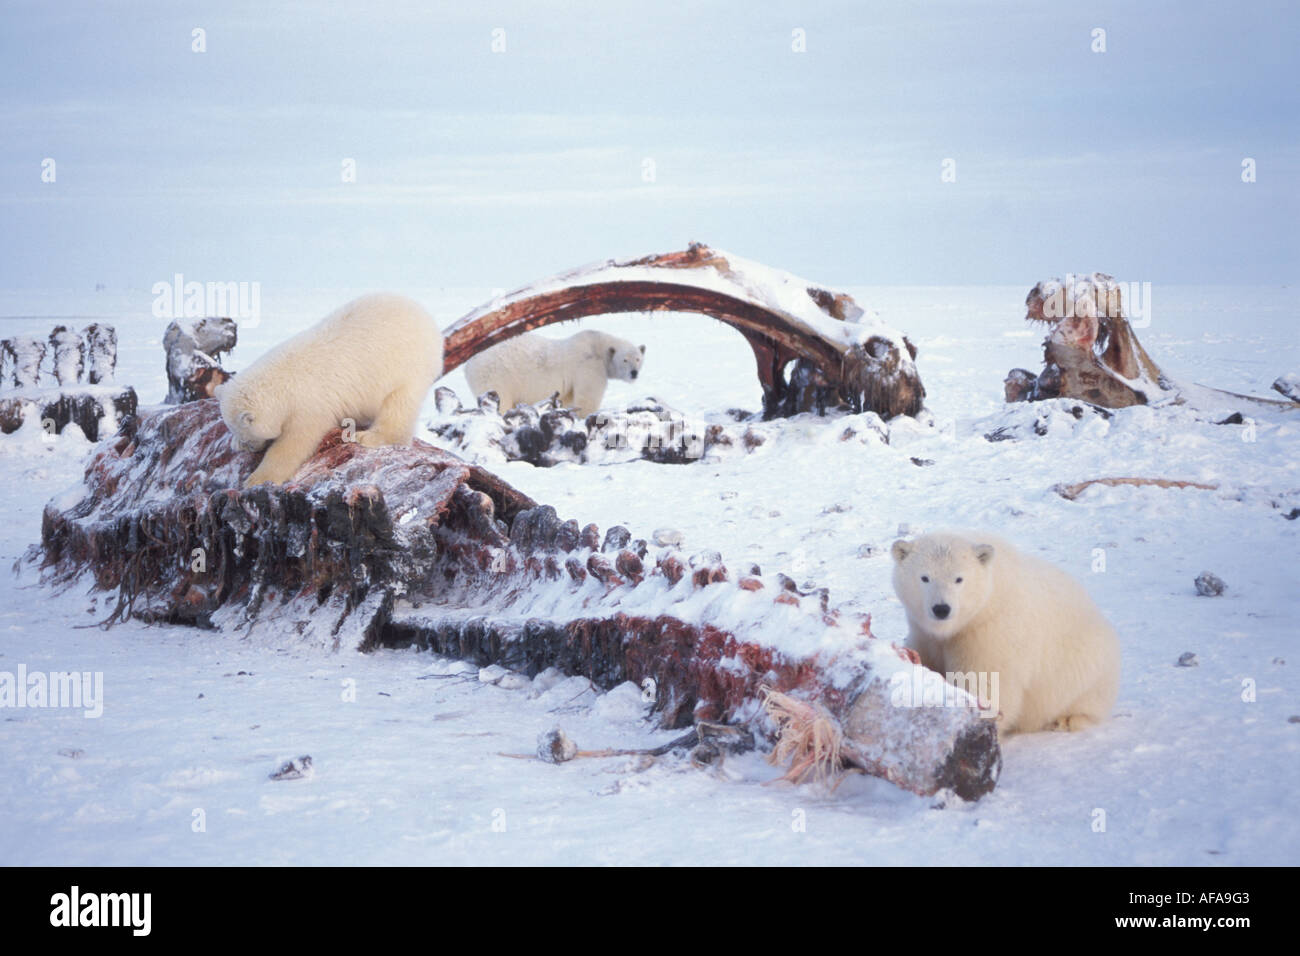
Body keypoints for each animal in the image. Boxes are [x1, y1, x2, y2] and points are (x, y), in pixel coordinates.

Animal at [215, 291, 444, 486]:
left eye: (247, 433)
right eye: (238, 433)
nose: (250, 447)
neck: (281, 384)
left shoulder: (309, 404)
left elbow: (294, 443)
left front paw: (257, 479)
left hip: (407, 366)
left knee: (398, 405)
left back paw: (369, 437)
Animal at [465, 329, 647, 418]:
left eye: (638, 358)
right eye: (625, 359)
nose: (634, 373)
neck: (598, 347)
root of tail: (469, 364)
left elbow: (568, 397)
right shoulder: (589, 367)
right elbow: (588, 398)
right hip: (497, 374)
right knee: (500, 398)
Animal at [889, 528, 1123, 738]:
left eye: (959, 579)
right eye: (924, 577)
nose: (941, 608)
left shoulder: (989, 631)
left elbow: (986, 680)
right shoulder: (924, 632)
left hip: (1089, 665)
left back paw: (1065, 720)